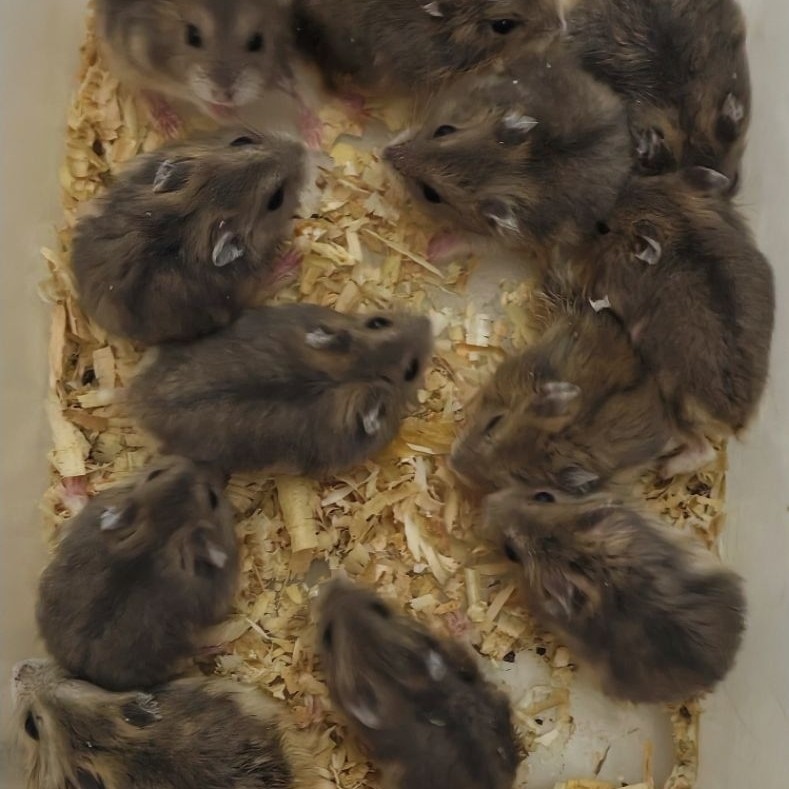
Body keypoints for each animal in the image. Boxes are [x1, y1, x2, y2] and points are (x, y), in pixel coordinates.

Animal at [36, 456, 239, 692]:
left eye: (155, 473)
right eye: (213, 499)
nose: (208, 462)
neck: (156, 534)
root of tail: (84, 674)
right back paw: (222, 646)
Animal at [72, 129, 306, 346]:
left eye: (242, 140)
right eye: (276, 199)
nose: (301, 149)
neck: (198, 212)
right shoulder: (244, 291)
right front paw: (294, 253)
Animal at [95, 0, 295, 134]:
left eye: (257, 41)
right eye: (192, 35)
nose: (224, 97)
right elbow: (194, 96)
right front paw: (227, 116)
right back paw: (170, 125)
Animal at [383, 46, 630, 261]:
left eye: (431, 194)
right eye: (443, 130)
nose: (384, 153)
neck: (522, 171)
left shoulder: (507, 238)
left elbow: (472, 241)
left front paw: (431, 251)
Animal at [576, 168, 775, 477]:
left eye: (605, 228)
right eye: (637, 182)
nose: (595, 221)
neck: (677, 222)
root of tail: (735, 421)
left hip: (674, 402)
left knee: (702, 450)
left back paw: (665, 469)